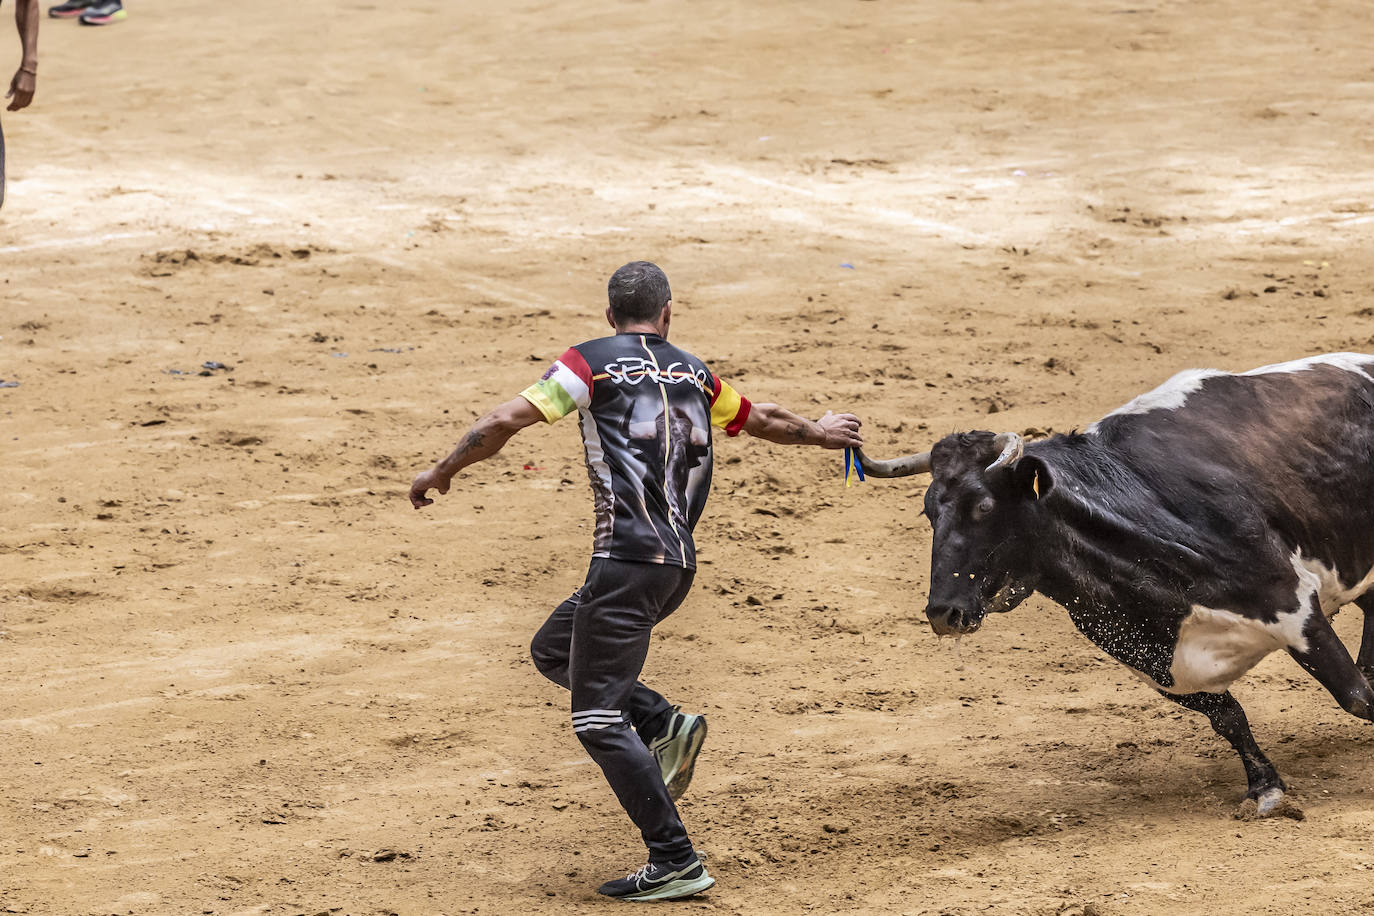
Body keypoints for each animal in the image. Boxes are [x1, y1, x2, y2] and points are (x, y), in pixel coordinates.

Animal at [857, 354, 1374, 818]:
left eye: (983, 506)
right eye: (929, 511)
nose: (943, 613)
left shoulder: (1294, 605)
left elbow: (1356, 696)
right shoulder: (1151, 660)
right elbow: (1229, 719)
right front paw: (1265, 788)